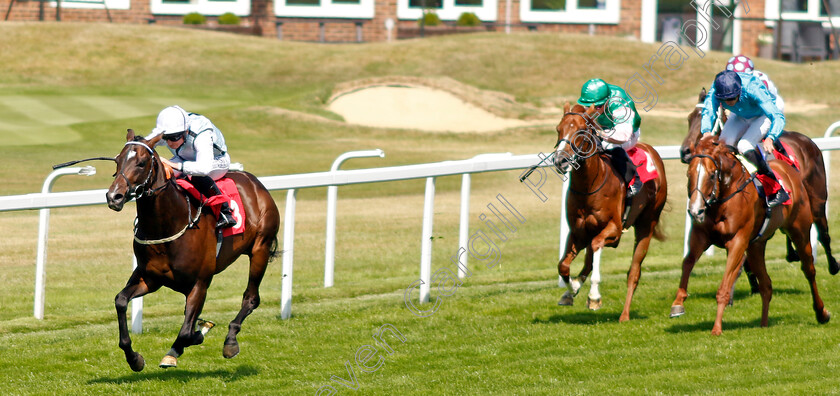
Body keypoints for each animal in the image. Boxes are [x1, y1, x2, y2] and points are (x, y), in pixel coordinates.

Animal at [105, 131, 280, 372]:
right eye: (117, 160)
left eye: (141, 163)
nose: (114, 196)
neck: (169, 224)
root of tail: (256, 183)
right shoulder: (150, 278)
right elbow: (121, 300)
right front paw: (134, 358)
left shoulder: (200, 282)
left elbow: (188, 332)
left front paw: (193, 336)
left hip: (260, 249)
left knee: (251, 298)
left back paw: (230, 341)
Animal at [556, 103, 668, 322]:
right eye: (558, 129)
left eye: (580, 131)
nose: (560, 160)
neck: (590, 185)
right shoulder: (578, 231)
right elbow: (563, 266)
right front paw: (571, 289)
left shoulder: (614, 230)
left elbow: (597, 247)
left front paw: (594, 297)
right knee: (588, 262)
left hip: (647, 224)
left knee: (634, 272)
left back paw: (624, 315)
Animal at [668, 136, 828, 334]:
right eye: (689, 174)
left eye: (712, 175)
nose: (695, 211)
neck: (723, 200)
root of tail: (789, 168)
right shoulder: (700, 237)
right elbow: (687, 263)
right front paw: (678, 304)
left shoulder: (737, 241)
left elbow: (725, 285)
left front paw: (717, 328)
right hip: (755, 246)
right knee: (766, 284)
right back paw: (764, 323)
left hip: (800, 230)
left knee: (809, 270)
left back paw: (821, 313)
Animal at [680, 88, 836, 274]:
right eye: (689, 118)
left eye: (705, 118)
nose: (685, 152)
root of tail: (809, 142)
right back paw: (792, 253)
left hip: (817, 201)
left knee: (824, 234)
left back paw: (833, 265)